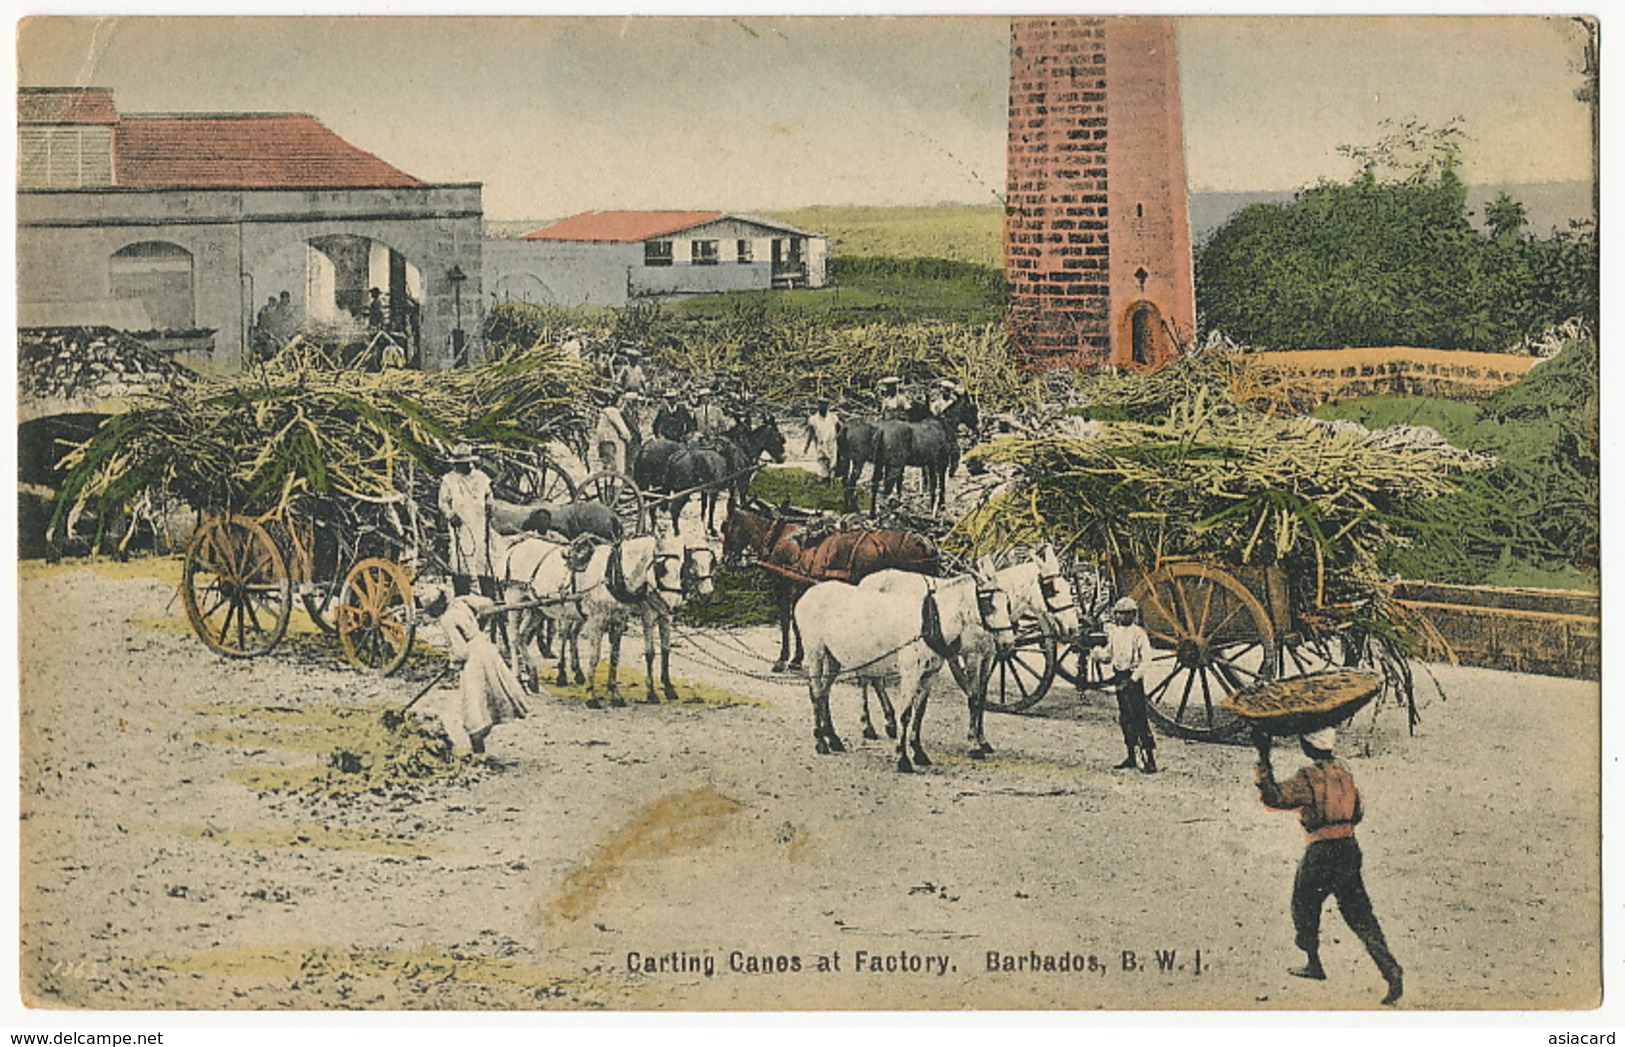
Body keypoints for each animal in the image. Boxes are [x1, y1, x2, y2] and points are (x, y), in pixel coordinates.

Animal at [724, 500, 942, 686]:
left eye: (726, 526)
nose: (726, 558)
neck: (777, 537)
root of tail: (925, 544)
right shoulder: (800, 587)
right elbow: (796, 624)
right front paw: (797, 659)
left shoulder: (784, 587)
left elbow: (787, 623)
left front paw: (784, 660)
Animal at [793, 559, 1007, 773]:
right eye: (990, 604)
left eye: (1007, 603)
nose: (1006, 643)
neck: (929, 620)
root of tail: (810, 593)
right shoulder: (911, 673)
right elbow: (905, 713)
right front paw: (902, 758)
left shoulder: (929, 674)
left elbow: (919, 713)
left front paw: (919, 753)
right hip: (815, 652)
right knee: (816, 693)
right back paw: (821, 742)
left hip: (833, 658)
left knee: (825, 693)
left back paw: (834, 739)